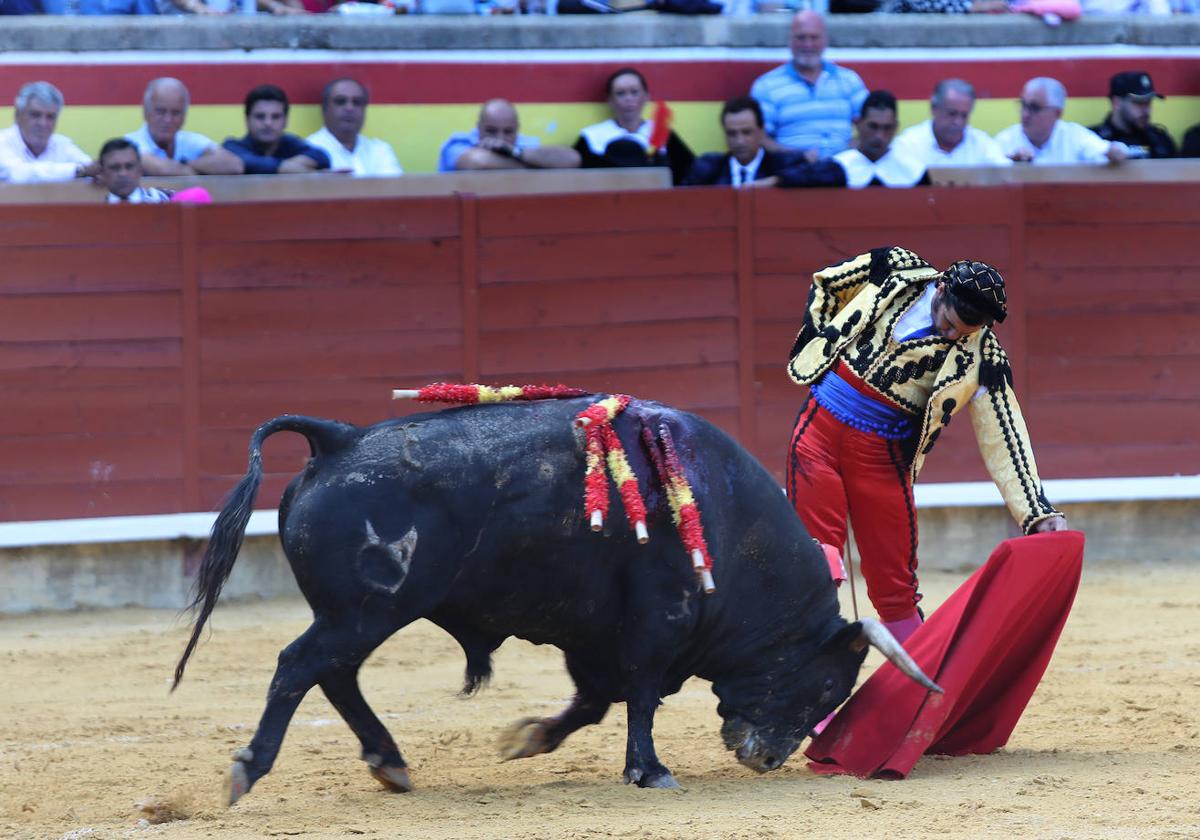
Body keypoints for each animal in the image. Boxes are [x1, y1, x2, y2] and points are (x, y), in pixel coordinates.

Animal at [174, 396, 936, 801]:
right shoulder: (655, 620)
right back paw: (249, 769)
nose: (767, 758)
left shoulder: (591, 632)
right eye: (829, 686)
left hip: (360, 616)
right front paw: (650, 771)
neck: (724, 519)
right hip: (364, 612)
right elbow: (640, 694)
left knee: (333, 675)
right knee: (298, 667)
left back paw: (390, 763)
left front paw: (528, 737)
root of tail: (339, 440)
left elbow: (597, 700)